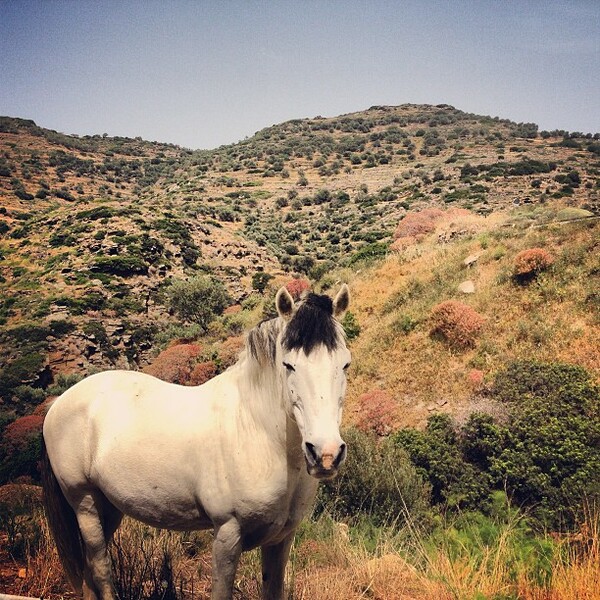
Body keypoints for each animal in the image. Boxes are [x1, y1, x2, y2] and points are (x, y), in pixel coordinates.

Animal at [41, 286, 352, 600]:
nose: (325, 454)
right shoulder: (227, 533)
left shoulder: (281, 539)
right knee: (100, 568)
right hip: (85, 503)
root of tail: (58, 404)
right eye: (288, 365)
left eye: (345, 364)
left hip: (110, 507)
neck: (256, 429)